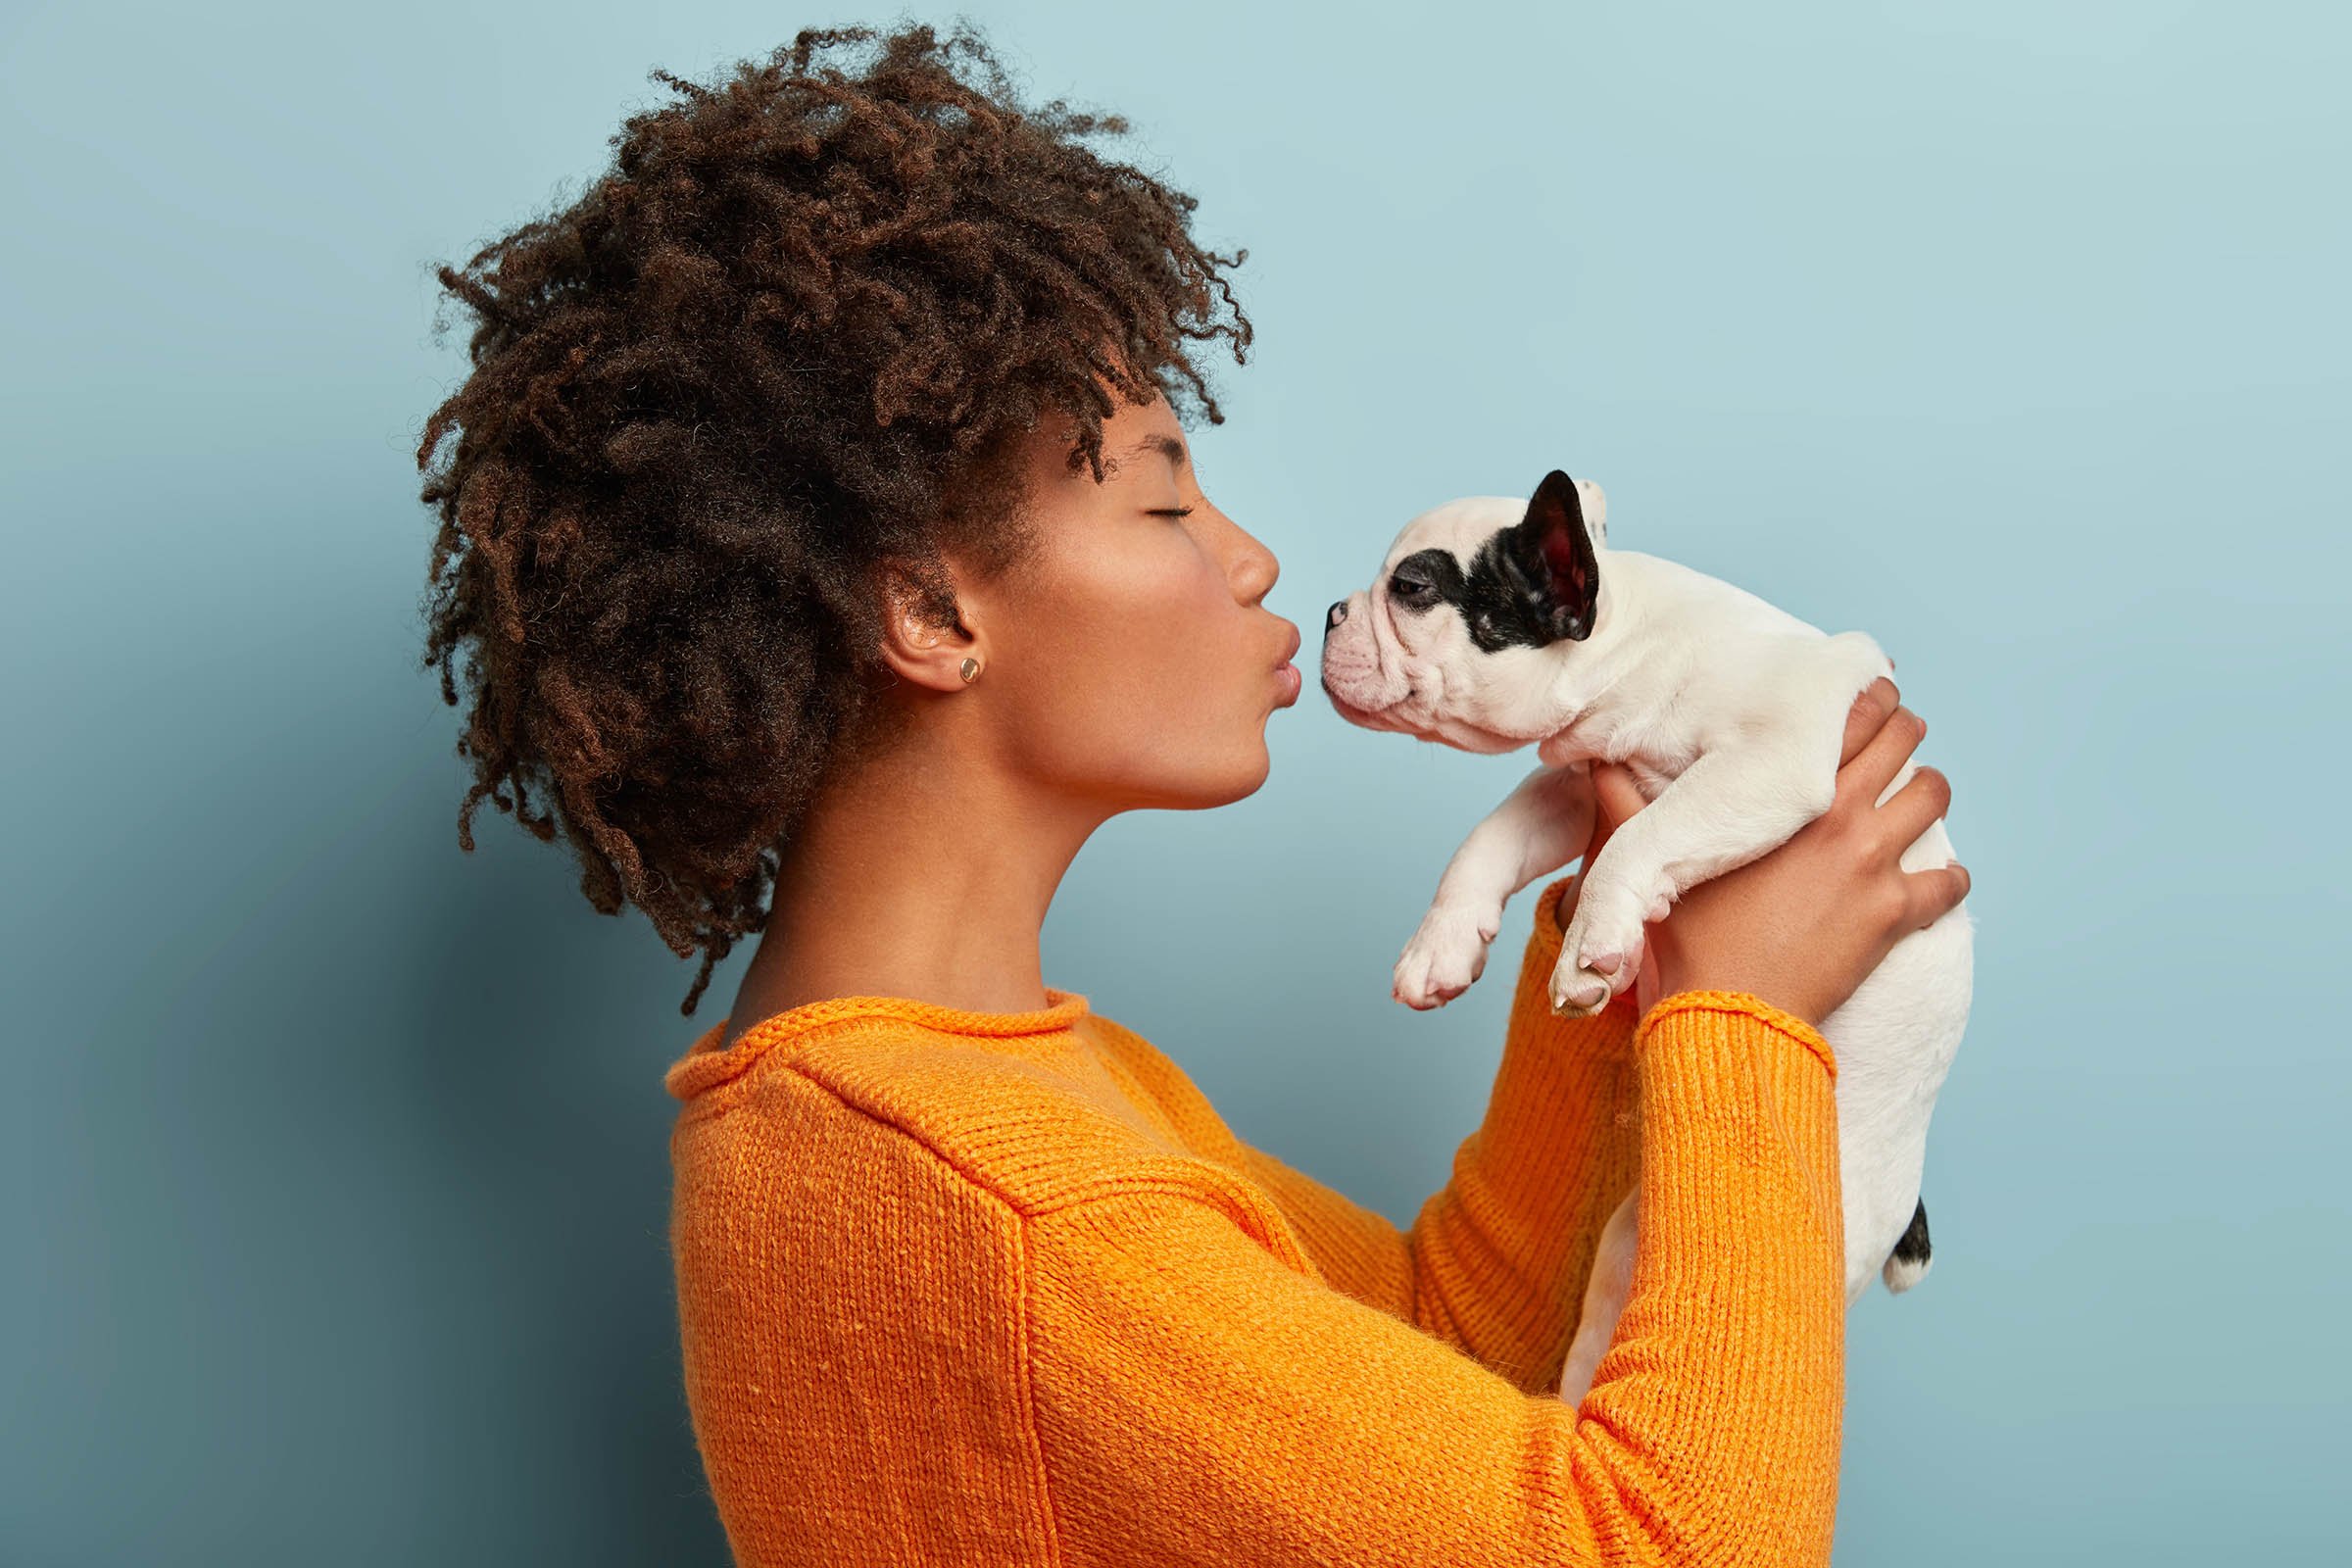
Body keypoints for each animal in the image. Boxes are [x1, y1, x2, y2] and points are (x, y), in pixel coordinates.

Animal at [1326, 472, 1966, 1400]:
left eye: (1410, 589)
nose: (1332, 612)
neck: (1628, 652)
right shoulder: (1574, 787)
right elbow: (1490, 838)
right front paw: (1439, 946)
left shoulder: (1770, 761)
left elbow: (1642, 836)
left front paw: (1593, 946)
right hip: (1626, 1245)